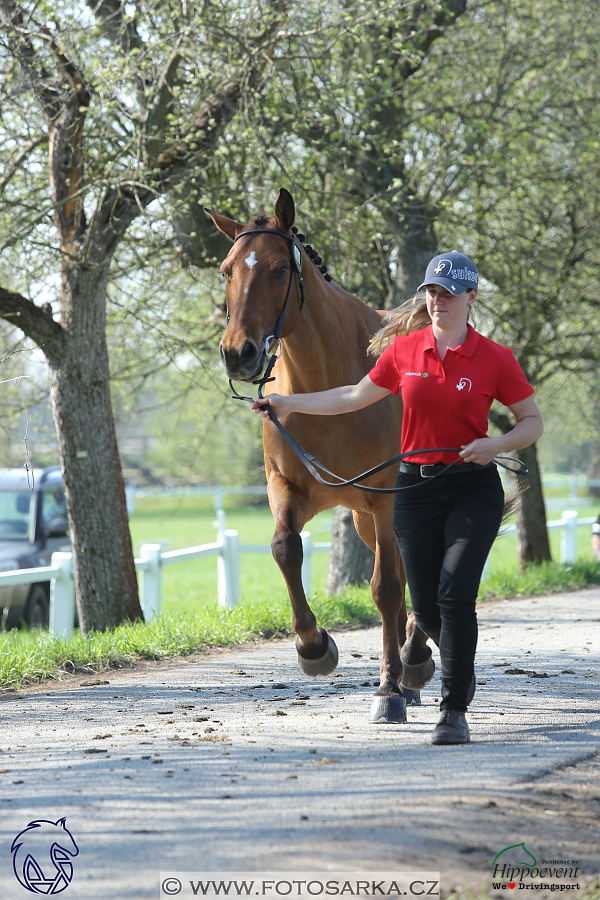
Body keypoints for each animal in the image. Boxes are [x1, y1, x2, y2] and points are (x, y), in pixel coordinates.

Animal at [206, 190, 432, 724]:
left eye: (278, 271)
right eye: (226, 270)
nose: (238, 353)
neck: (329, 389)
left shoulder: (385, 496)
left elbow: (385, 588)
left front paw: (387, 690)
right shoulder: (287, 487)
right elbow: (285, 549)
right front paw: (314, 647)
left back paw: (412, 661)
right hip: (366, 521)